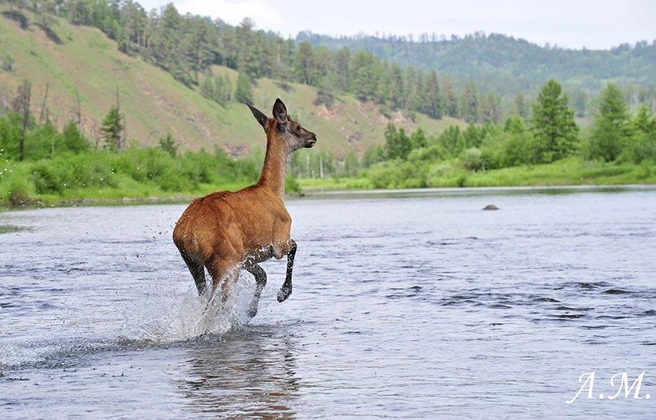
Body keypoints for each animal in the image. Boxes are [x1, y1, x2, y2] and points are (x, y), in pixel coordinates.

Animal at [172, 98, 318, 318]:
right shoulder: (278, 240)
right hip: (225, 261)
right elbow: (294, 246)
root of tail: (187, 234)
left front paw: (251, 310)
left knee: (206, 300)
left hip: (193, 262)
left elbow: (262, 276)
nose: (313, 136)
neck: (275, 191)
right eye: (298, 126)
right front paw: (283, 293)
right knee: (215, 305)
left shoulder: (248, 257)